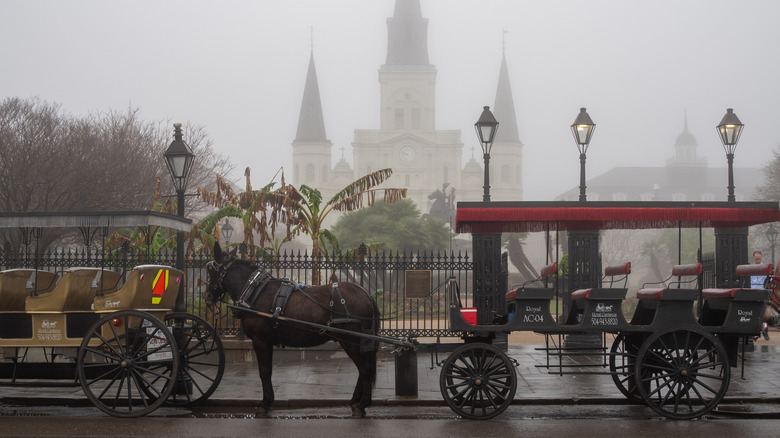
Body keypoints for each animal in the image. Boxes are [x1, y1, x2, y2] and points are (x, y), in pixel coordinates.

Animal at [204, 243, 380, 418]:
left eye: (210, 270)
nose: (207, 297)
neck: (254, 289)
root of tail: (366, 294)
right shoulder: (266, 342)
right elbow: (267, 371)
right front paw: (268, 401)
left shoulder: (260, 340)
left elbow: (264, 371)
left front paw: (265, 403)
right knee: (363, 369)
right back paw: (355, 401)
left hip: (350, 340)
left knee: (364, 369)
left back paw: (362, 404)